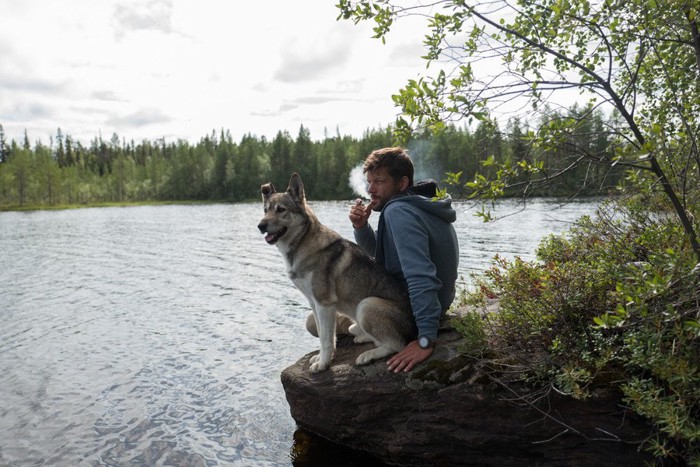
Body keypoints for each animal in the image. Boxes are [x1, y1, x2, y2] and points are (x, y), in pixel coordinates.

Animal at [260, 174, 418, 374]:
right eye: (265, 210)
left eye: (281, 210)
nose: (260, 225)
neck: (301, 245)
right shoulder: (314, 303)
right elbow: (323, 336)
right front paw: (321, 359)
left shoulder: (325, 304)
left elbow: (326, 340)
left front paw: (323, 364)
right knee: (364, 333)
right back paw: (363, 338)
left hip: (366, 305)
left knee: (397, 345)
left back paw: (368, 355)